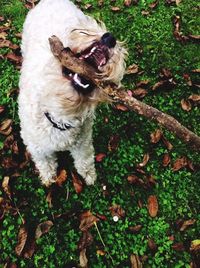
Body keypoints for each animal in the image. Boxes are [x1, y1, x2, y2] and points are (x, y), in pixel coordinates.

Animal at [18, 0, 126, 186]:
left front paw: (89, 174)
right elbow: (44, 161)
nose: (110, 38)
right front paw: (48, 176)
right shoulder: (36, 146)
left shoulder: (83, 141)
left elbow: (85, 158)